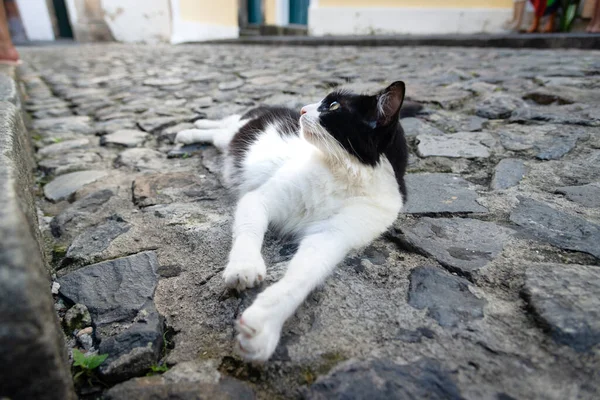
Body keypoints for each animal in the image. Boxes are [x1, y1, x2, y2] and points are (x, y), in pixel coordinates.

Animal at [176, 81, 412, 362]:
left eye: (333, 106)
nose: (302, 110)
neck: (345, 172)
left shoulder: (332, 237)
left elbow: (301, 277)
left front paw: (264, 326)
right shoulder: (258, 199)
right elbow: (249, 232)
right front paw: (244, 267)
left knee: (220, 132)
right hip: (235, 131)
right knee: (222, 126)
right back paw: (190, 130)